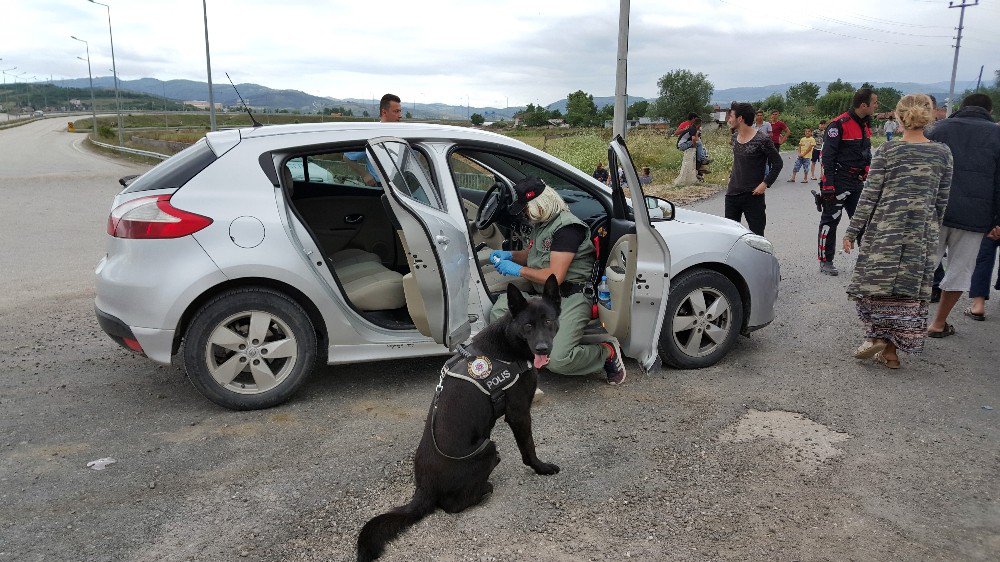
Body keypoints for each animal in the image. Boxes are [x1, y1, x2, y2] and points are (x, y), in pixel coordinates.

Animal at [358, 274, 564, 556]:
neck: (509, 342)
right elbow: (529, 448)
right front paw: (541, 468)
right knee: (451, 505)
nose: (543, 348)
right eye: (528, 325)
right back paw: (484, 488)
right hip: (488, 447)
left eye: (549, 322)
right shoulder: (519, 413)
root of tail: (424, 488)